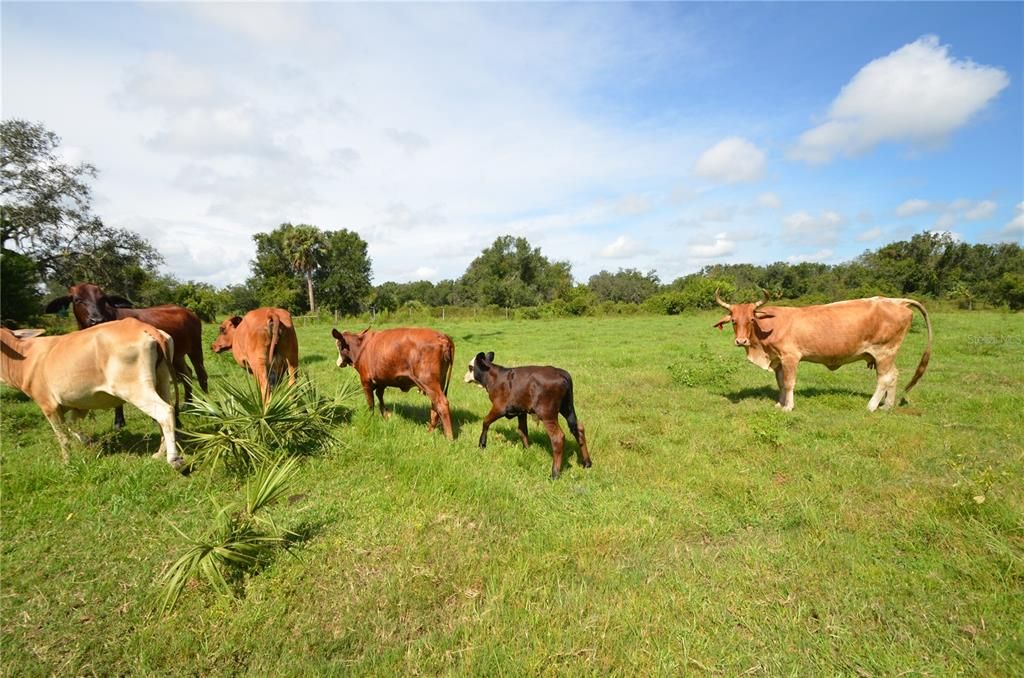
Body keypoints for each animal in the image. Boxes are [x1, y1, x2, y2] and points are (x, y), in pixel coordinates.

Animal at [0, 319, 180, 467]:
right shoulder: (80, 404)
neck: (25, 358)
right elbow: (72, 426)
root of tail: (143, 326)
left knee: (164, 411)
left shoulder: (48, 405)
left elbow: (63, 437)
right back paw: (159, 453)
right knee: (165, 413)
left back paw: (173, 459)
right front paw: (89, 443)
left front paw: (66, 462)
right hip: (162, 381)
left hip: (134, 389)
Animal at [464, 352, 593, 481]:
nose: (464, 377)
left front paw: (482, 444)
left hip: (547, 414)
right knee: (578, 429)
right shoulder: (521, 412)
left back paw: (555, 473)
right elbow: (523, 431)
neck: (493, 377)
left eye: (470, 367)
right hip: (567, 408)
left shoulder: (499, 407)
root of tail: (560, 372)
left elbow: (485, 421)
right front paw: (528, 451)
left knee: (558, 437)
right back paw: (587, 463)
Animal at [716, 288, 933, 411]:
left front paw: (788, 407)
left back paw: (871, 406)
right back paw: (887, 406)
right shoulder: (778, 360)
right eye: (733, 320)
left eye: (751, 319)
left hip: (883, 352)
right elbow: (780, 383)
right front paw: (779, 403)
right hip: (889, 355)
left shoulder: (790, 357)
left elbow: (789, 383)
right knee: (894, 375)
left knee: (884, 379)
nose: (741, 340)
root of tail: (896, 301)